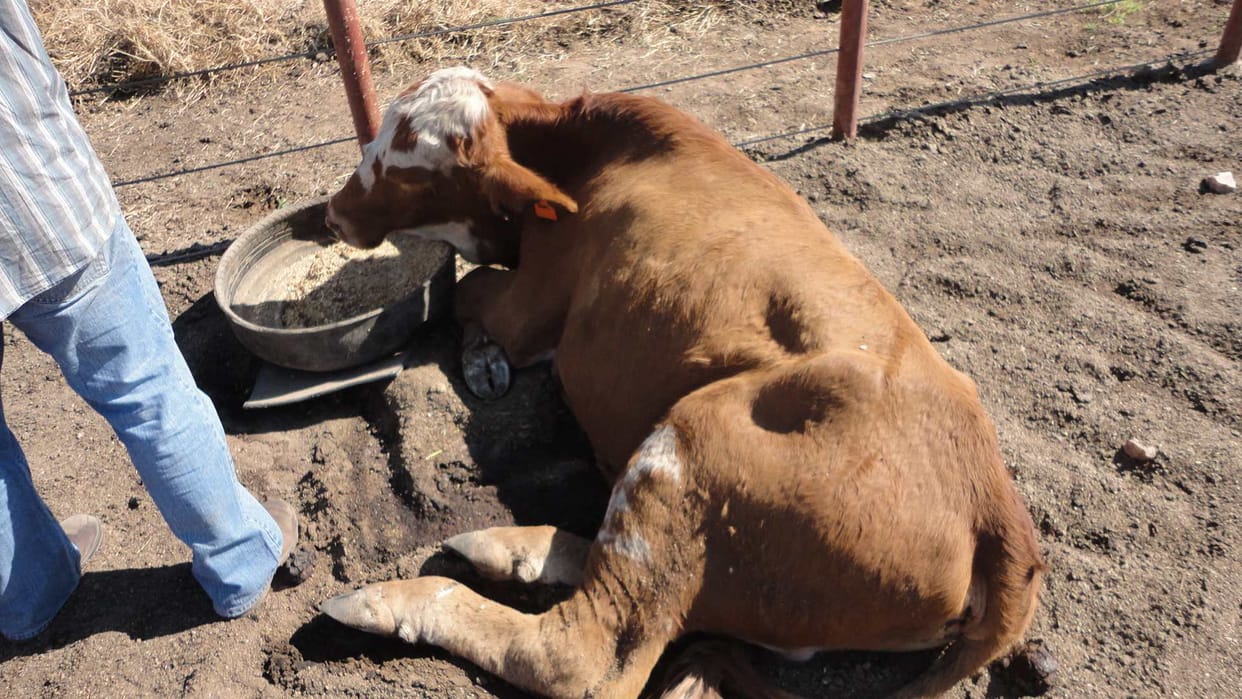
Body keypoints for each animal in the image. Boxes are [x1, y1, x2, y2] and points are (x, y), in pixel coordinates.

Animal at [319, 66, 1045, 698]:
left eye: (407, 168)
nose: (335, 211)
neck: (583, 153)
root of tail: (996, 509)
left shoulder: (528, 304)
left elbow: (464, 295)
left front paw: (480, 359)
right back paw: (511, 548)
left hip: (693, 441)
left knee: (585, 653)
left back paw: (391, 597)